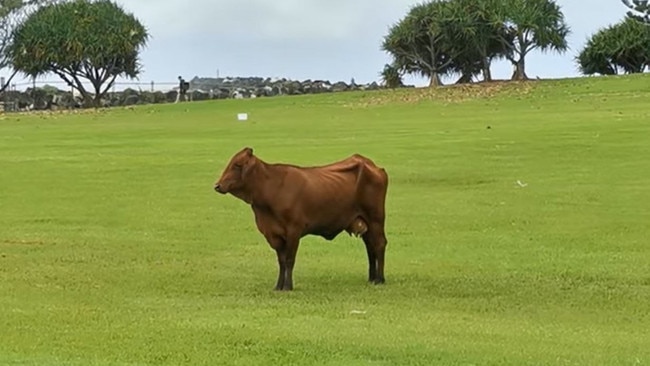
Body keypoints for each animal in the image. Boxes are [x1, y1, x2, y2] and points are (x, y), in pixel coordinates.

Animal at [213, 147, 388, 290]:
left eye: (237, 165)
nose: (217, 185)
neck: (271, 188)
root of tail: (369, 163)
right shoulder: (274, 234)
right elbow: (281, 261)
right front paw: (278, 286)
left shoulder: (293, 230)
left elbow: (290, 260)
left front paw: (288, 286)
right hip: (365, 222)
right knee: (370, 247)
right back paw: (372, 278)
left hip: (376, 219)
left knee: (379, 244)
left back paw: (380, 279)